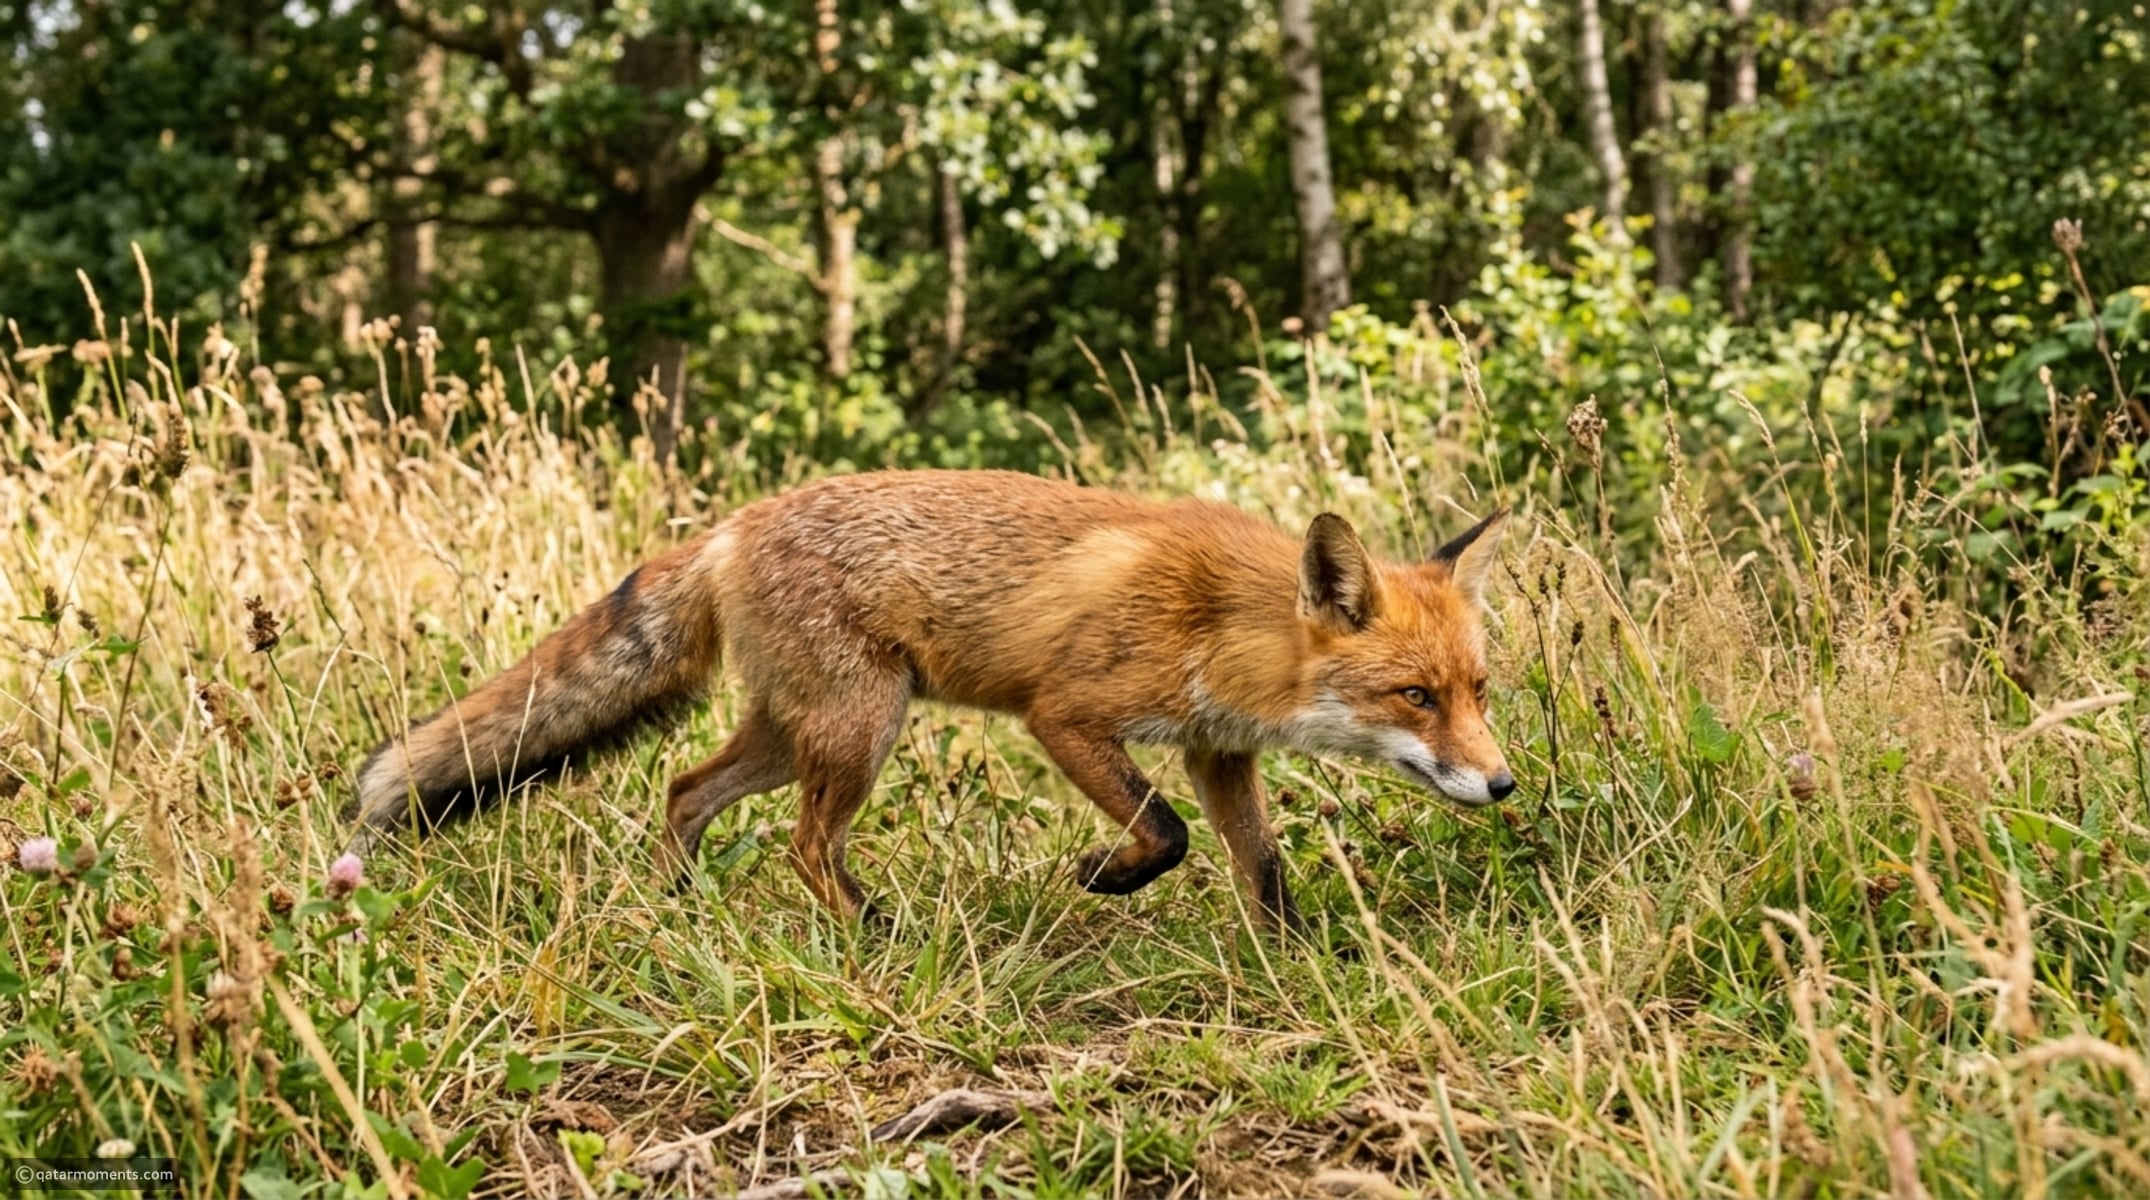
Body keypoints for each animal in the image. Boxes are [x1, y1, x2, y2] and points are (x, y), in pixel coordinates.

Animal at [346, 468, 1514, 931]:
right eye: (1414, 696)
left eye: (1476, 691)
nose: (1503, 784)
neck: (1221, 620)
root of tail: (730, 526)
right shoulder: (1067, 715)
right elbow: (1166, 834)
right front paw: (1102, 877)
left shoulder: (1216, 749)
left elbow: (1258, 865)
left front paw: (1293, 957)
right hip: (861, 731)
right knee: (803, 846)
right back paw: (871, 931)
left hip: (802, 732)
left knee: (683, 790)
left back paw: (683, 906)